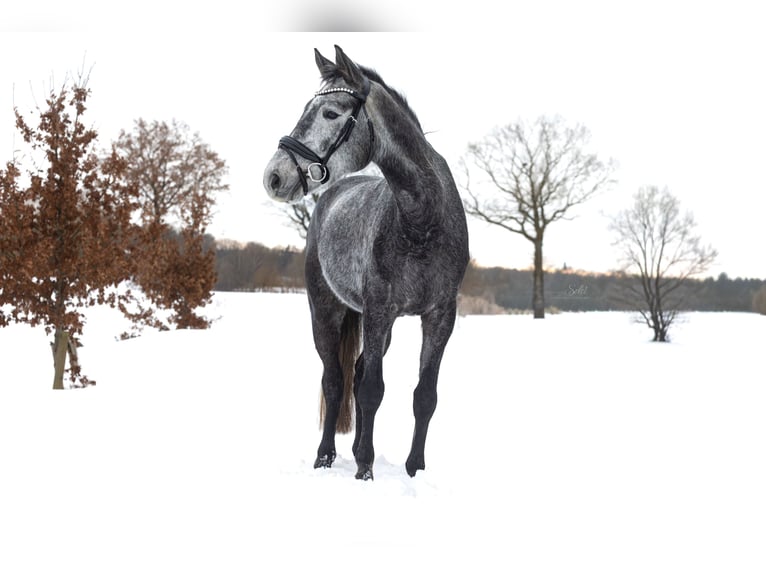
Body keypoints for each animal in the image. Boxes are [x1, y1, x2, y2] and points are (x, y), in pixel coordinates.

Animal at [263, 45, 469, 480]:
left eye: (330, 113)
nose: (274, 176)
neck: (422, 221)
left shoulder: (440, 315)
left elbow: (424, 395)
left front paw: (413, 470)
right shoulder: (379, 309)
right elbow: (373, 389)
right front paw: (365, 472)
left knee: (355, 375)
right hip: (325, 311)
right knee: (335, 380)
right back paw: (325, 457)